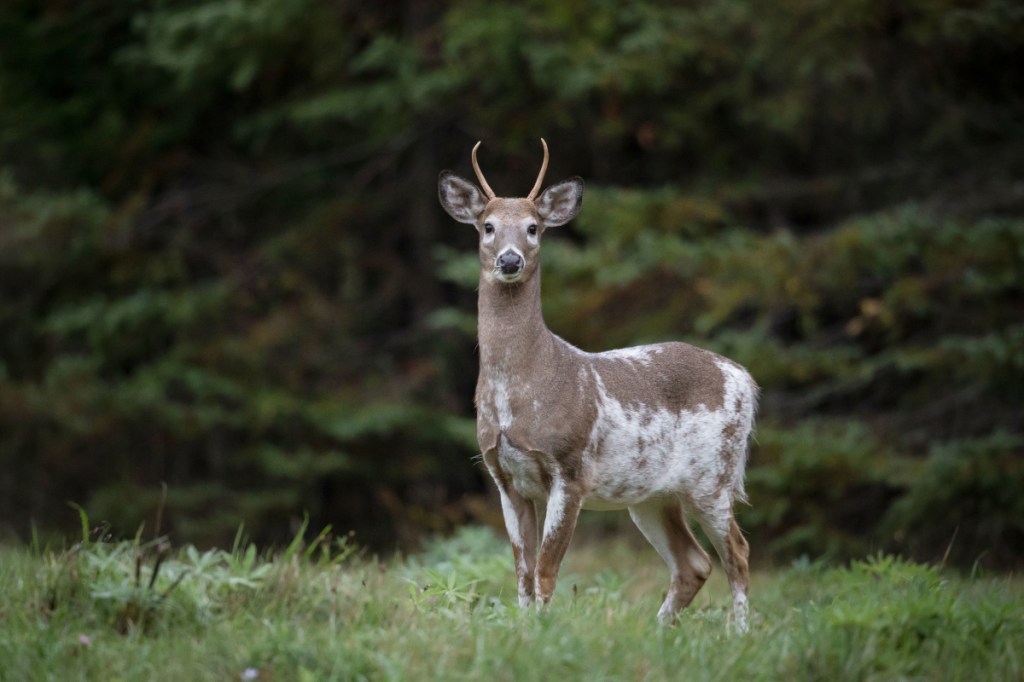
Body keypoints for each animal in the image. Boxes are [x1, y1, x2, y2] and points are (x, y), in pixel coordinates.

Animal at [438, 139, 758, 632]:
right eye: (487, 226)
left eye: (533, 227)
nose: (509, 260)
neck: (521, 391)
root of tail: (743, 375)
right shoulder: (503, 475)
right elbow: (522, 572)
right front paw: (524, 630)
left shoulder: (570, 468)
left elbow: (547, 570)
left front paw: (543, 632)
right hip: (650, 495)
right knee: (694, 563)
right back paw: (658, 632)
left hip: (713, 475)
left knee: (737, 553)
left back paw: (739, 634)